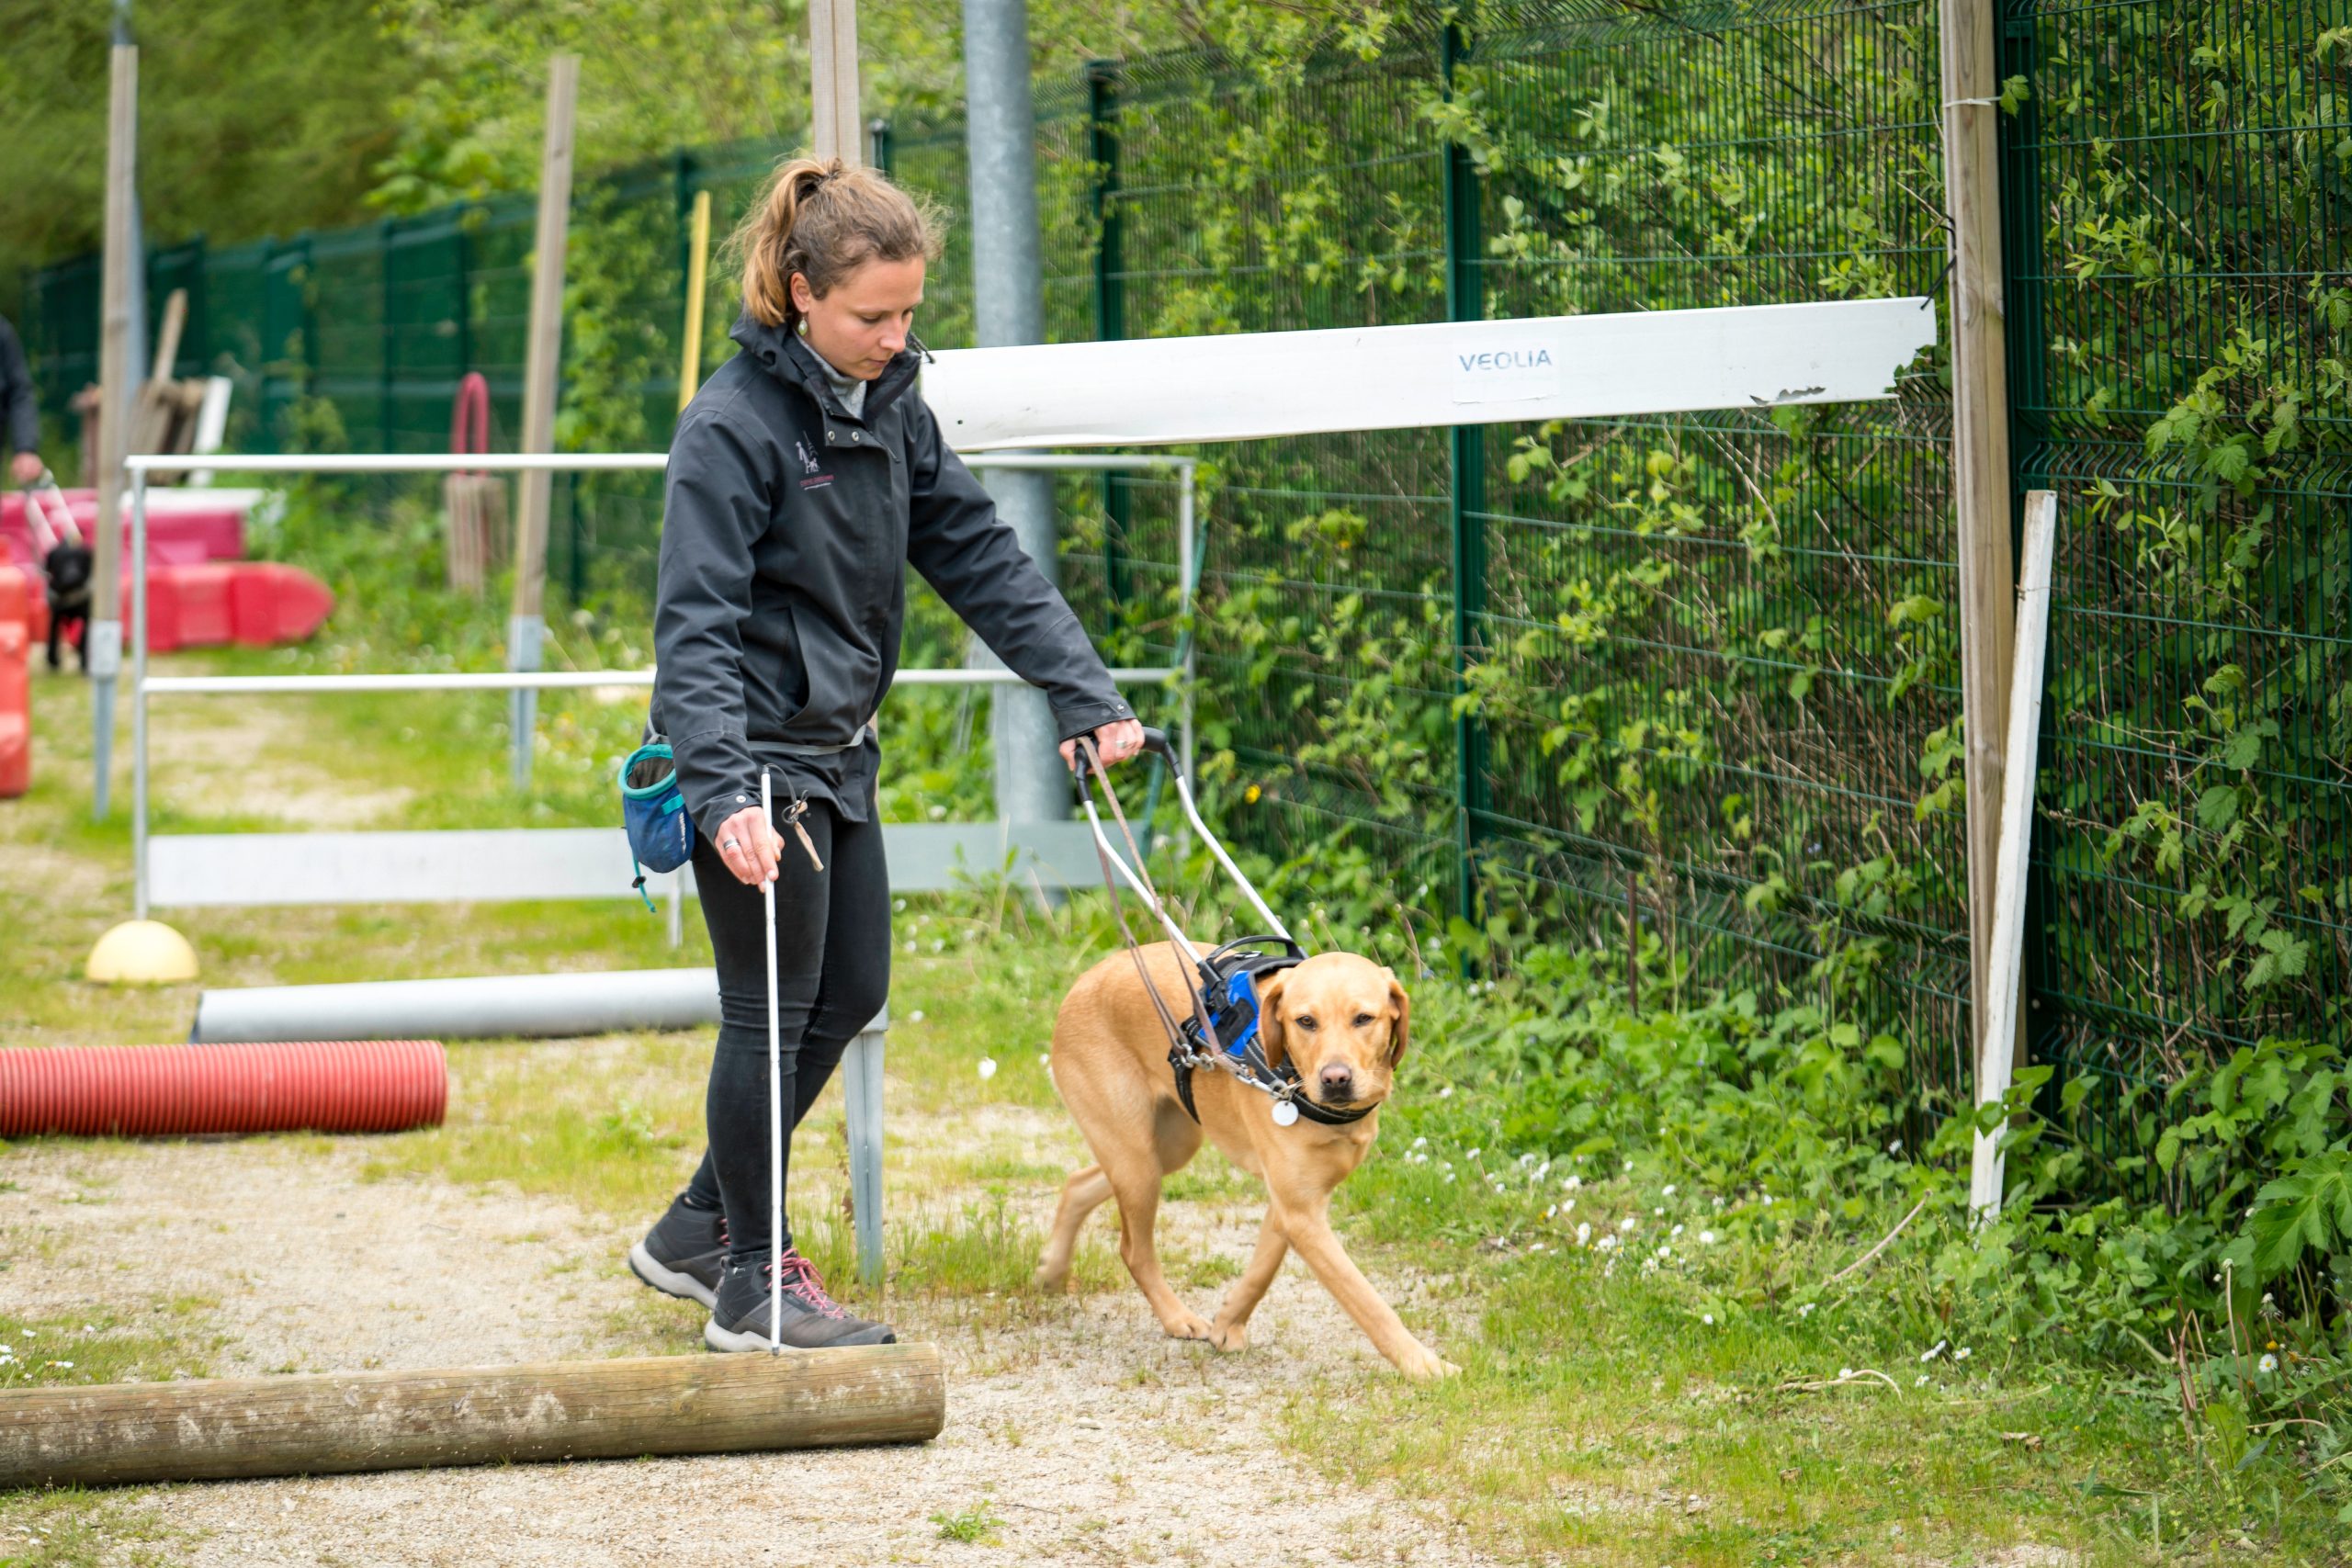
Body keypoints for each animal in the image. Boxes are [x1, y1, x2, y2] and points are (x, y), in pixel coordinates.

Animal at [43, 540, 92, 677]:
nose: (72, 577)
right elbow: (52, 638)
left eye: (80, 560)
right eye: (61, 560)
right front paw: (53, 660)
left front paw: (85, 665)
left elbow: (84, 640)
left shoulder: (86, 617)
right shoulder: (55, 615)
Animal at [1044, 940, 1458, 1382]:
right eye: (1306, 1021)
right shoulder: (1301, 1215)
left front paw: (1228, 1325)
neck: (1290, 1077)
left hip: (1164, 1150)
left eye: (1364, 1018)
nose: (1335, 1079)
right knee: (1133, 1250)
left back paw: (1051, 1271)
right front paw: (1423, 1364)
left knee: (1077, 1184)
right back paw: (1175, 1317)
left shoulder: (1291, 1204)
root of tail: (1084, 981)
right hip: (1136, 1161)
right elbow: (1367, 1301)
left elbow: (1261, 1271)